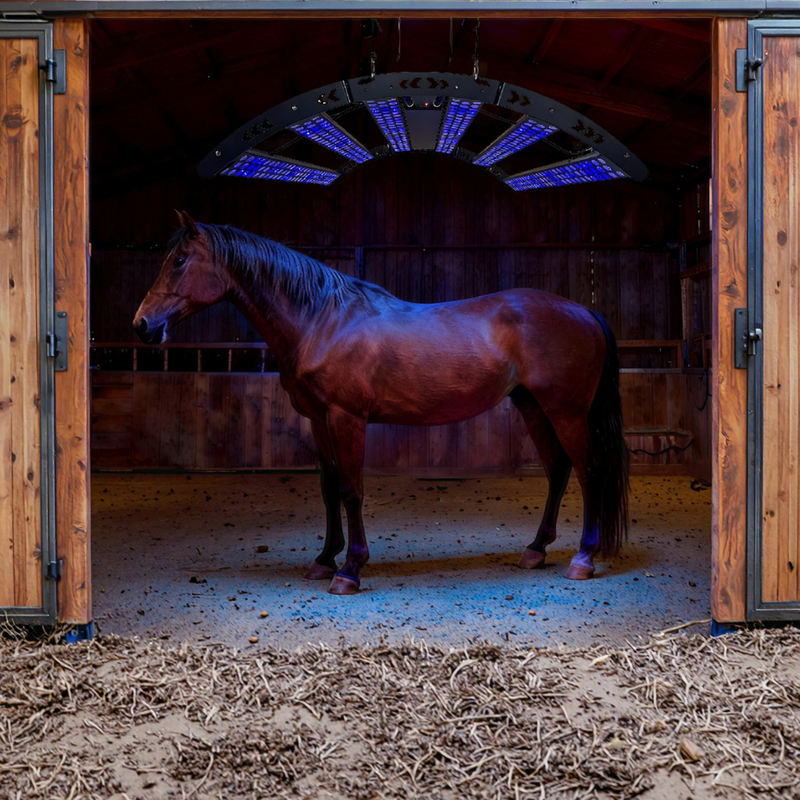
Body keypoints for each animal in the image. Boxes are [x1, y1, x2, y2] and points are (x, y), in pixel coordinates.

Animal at [134, 212, 629, 595]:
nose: (142, 325)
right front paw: (324, 559)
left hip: (566, 412)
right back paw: (536, 550)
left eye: (179, 261)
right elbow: (329, 488)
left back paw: (583, 559)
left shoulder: (347, 419)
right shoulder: (319, 420)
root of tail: (586, 312)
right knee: (559, 471)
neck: (323, 320)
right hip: (533, 407)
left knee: (589, 471)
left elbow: (352, 489)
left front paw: (350, 570)